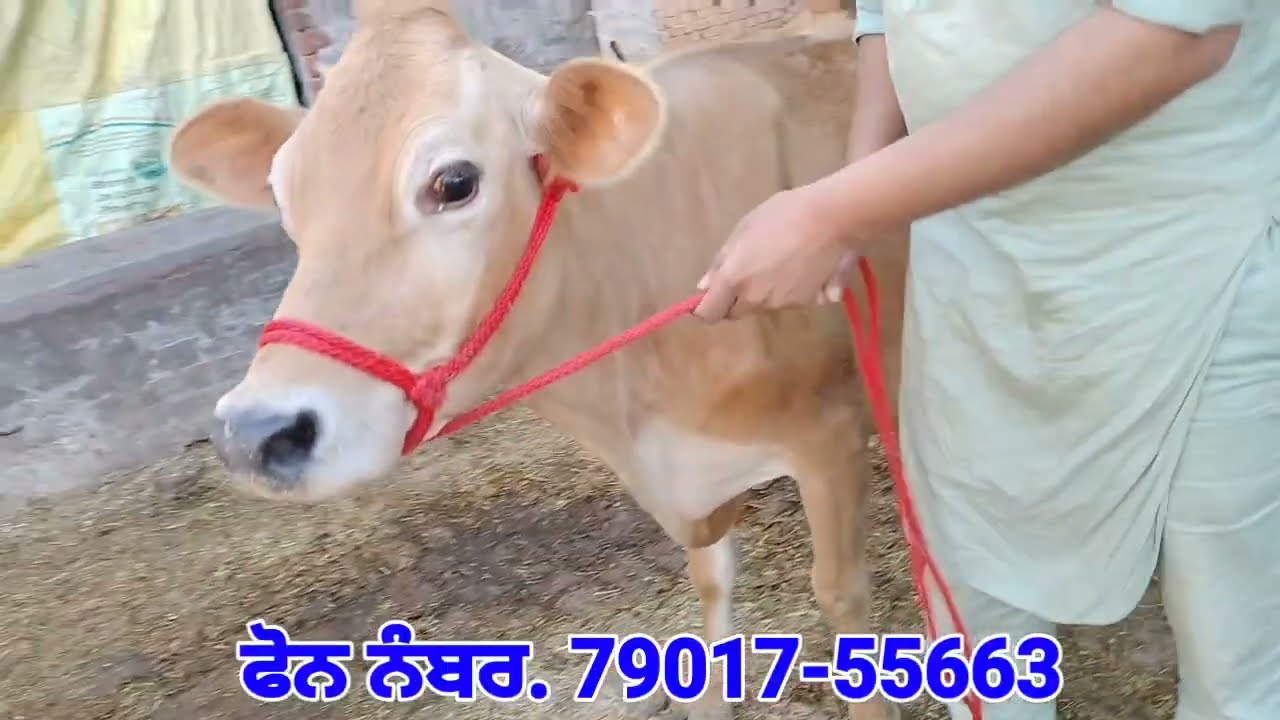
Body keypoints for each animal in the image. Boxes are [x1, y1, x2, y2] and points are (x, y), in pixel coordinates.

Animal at [168, 2, 905, 718]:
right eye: (283, 194)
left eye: (454, 182)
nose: (252, 434)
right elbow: (709, 585)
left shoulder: (829, 436)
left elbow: (841, 597)